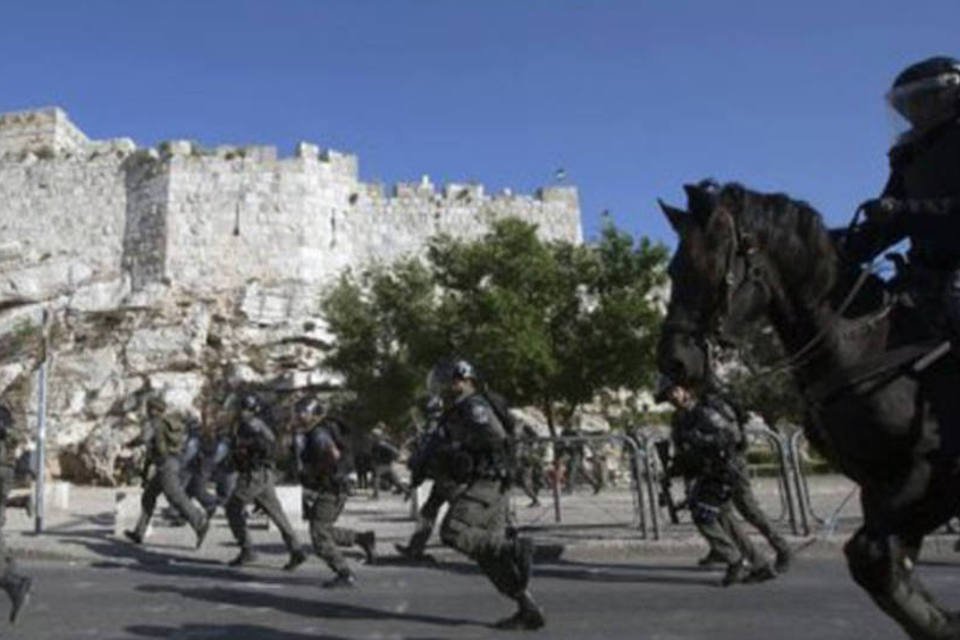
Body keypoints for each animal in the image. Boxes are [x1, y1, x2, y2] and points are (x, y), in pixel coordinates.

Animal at [660, 180, 960, 640]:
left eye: (708, 267)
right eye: (672, 272)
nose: (672, 361)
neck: (863, 338)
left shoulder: (929, 472)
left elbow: (874, 557)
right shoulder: (881, 487)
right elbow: (882, 563)